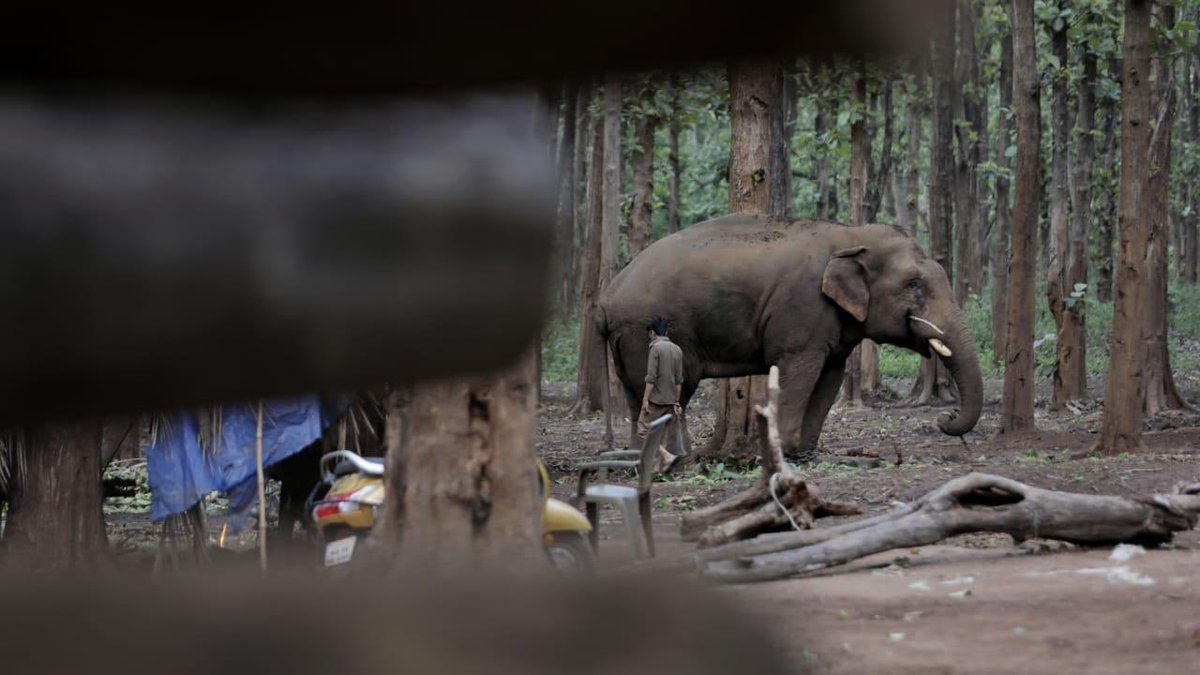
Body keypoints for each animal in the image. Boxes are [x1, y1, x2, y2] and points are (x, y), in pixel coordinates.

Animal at [596, 213, 983, 458]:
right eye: (914, 284)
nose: (946, 417)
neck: (850, 235)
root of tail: (605, 299)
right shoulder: (802, 312)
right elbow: (799, 372)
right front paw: (777, 451)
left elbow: (829, 377)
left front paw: (803, 451)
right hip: (644, 331)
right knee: (674, 390)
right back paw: (675, 459)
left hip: (628, 340)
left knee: (637, 394)